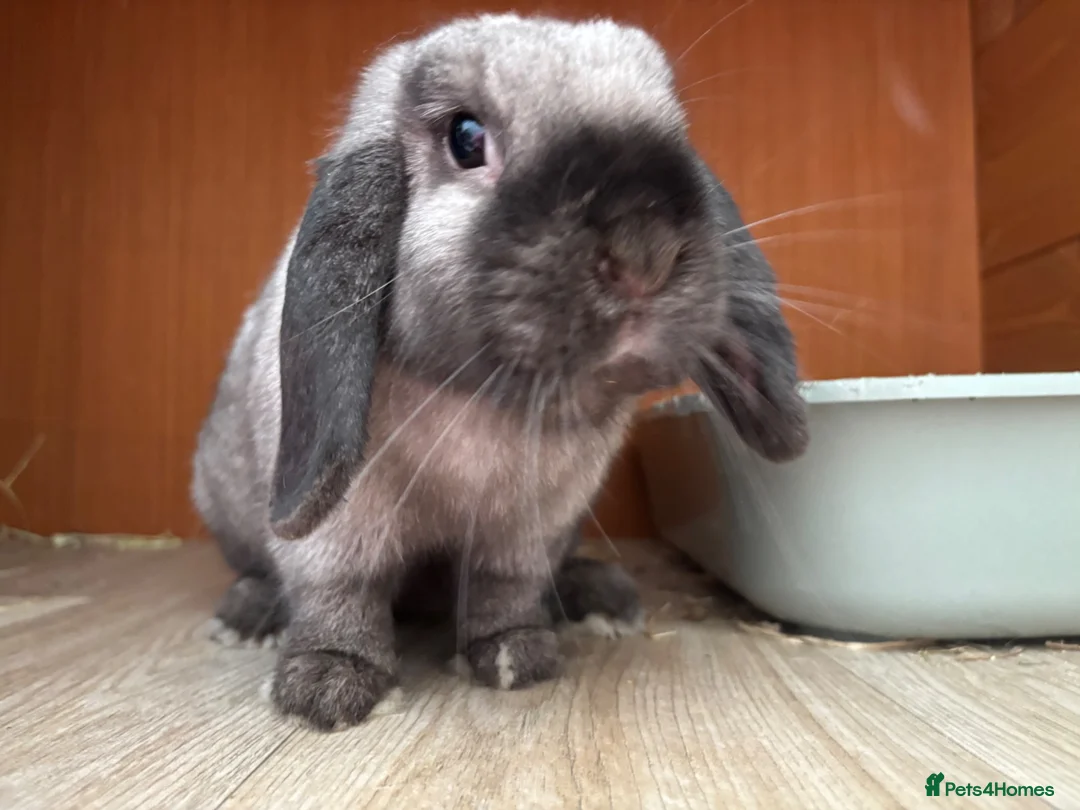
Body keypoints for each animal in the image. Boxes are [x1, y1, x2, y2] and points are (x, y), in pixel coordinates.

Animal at [191, 12, 809, 731]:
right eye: (466, 139)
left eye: (676, 131)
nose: (645, 252)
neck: (484, 399)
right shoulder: (341, 527)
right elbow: (341, 589)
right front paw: (328, 685)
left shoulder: (526, 530)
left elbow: (502, 589)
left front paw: (516, 656)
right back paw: (249, 616)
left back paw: (598, 597)